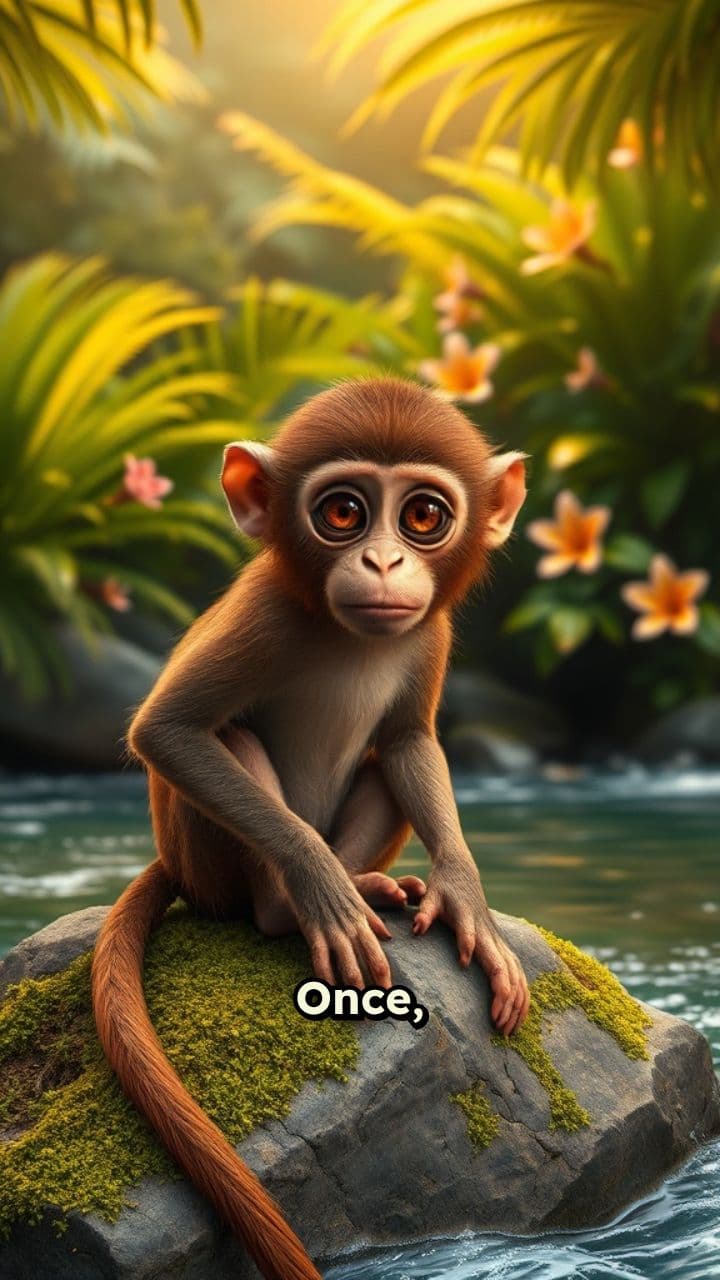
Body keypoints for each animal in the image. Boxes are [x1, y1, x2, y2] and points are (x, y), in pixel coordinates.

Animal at [91, 376, 530, 1280]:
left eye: (424, 516)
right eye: (343, 514)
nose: (385, 562)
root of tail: (173, 867)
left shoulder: (431, 628)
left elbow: (411, 743)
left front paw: (466, 901)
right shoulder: (262, 612)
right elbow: (169, 732)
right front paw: (320, 891)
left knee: (386, 759)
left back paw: (371, 881)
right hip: (205, 862)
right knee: (227, 737)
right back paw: (291, 909)